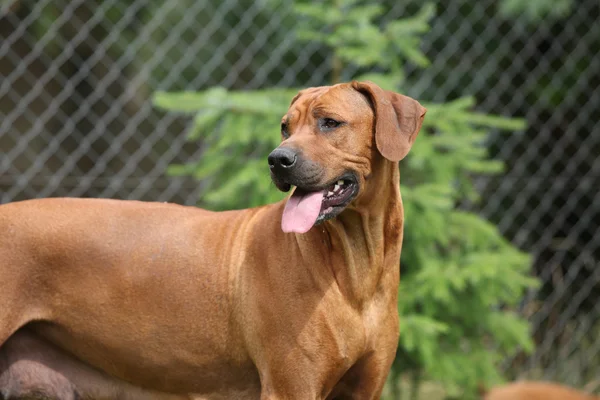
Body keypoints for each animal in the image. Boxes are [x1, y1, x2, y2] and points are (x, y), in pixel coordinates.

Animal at [0, 79, 426, 398]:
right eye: (285, 127)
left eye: (331, 123)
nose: (277, 159)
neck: (355, 270)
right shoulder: (291, 387)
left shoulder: (365, 387)